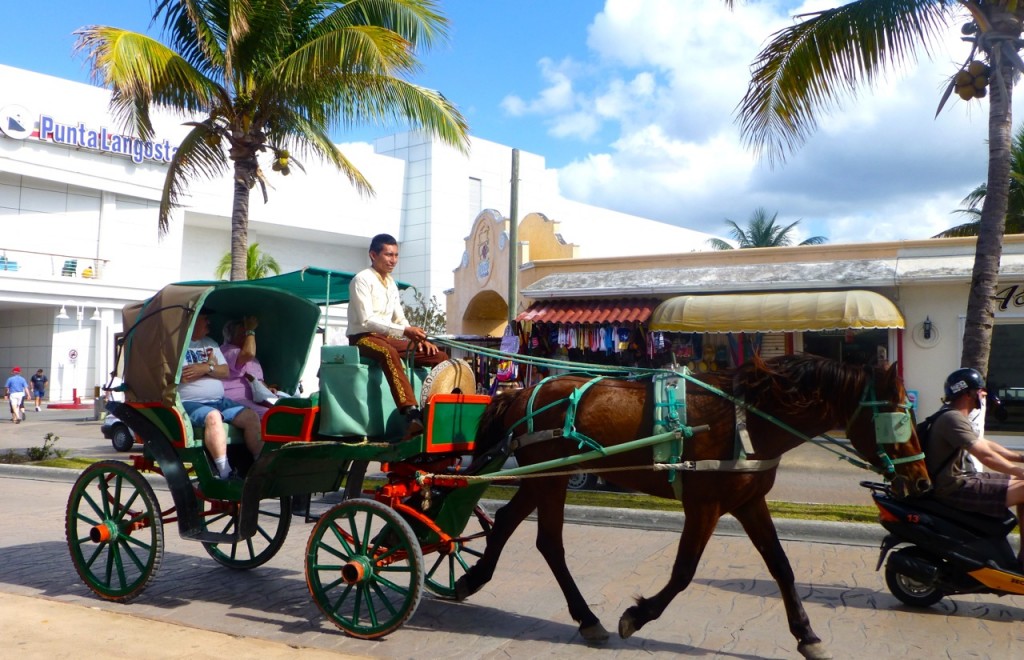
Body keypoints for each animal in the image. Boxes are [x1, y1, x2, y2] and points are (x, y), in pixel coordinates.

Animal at [454, 356, 929, 658]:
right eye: (900, 417)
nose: (922, 480)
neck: (746, 422)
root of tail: (521, 392)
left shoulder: (749, 501)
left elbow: (781, 566)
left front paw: (806, 634)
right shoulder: (705, 505)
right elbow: (683, 572)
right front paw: (637, 616)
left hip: (545, 478)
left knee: (507, 522)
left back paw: (474, 579)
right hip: (552, 478)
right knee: (550, 542)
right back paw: (586, 617)